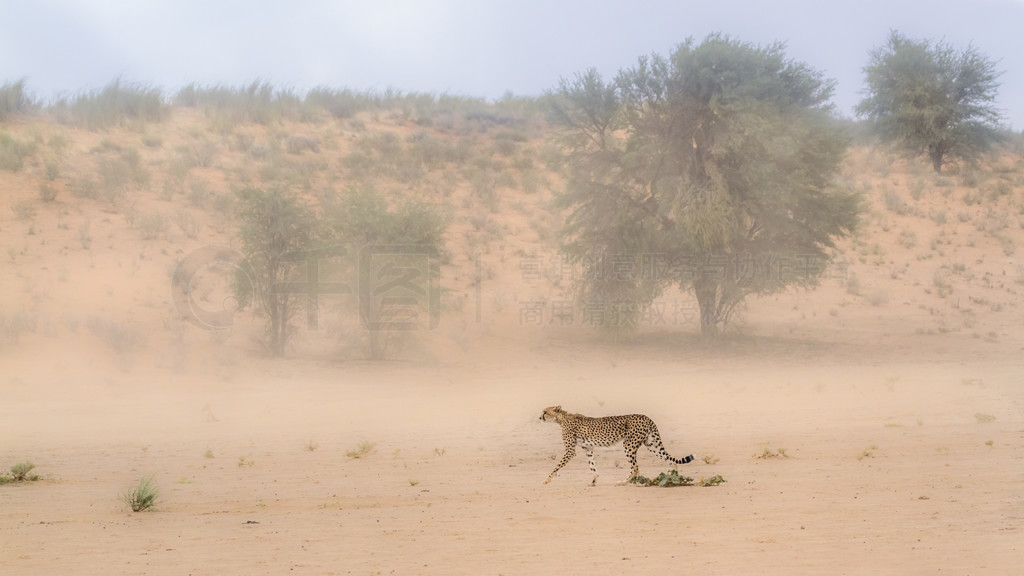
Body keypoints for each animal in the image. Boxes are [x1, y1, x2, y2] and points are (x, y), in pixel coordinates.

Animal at [536, 403, 696, 483]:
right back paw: (674, 477)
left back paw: (623, 482)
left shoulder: (570, 451)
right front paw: (594, 480)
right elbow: (592, 465)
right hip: (652, 444)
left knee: (636, 468)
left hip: (629, 445)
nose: (539, 417)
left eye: (545, 412)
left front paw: (547, 479)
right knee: (671, 461)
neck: (561, 418)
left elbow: (557, 465)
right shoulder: (588, 448)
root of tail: (646, 416)